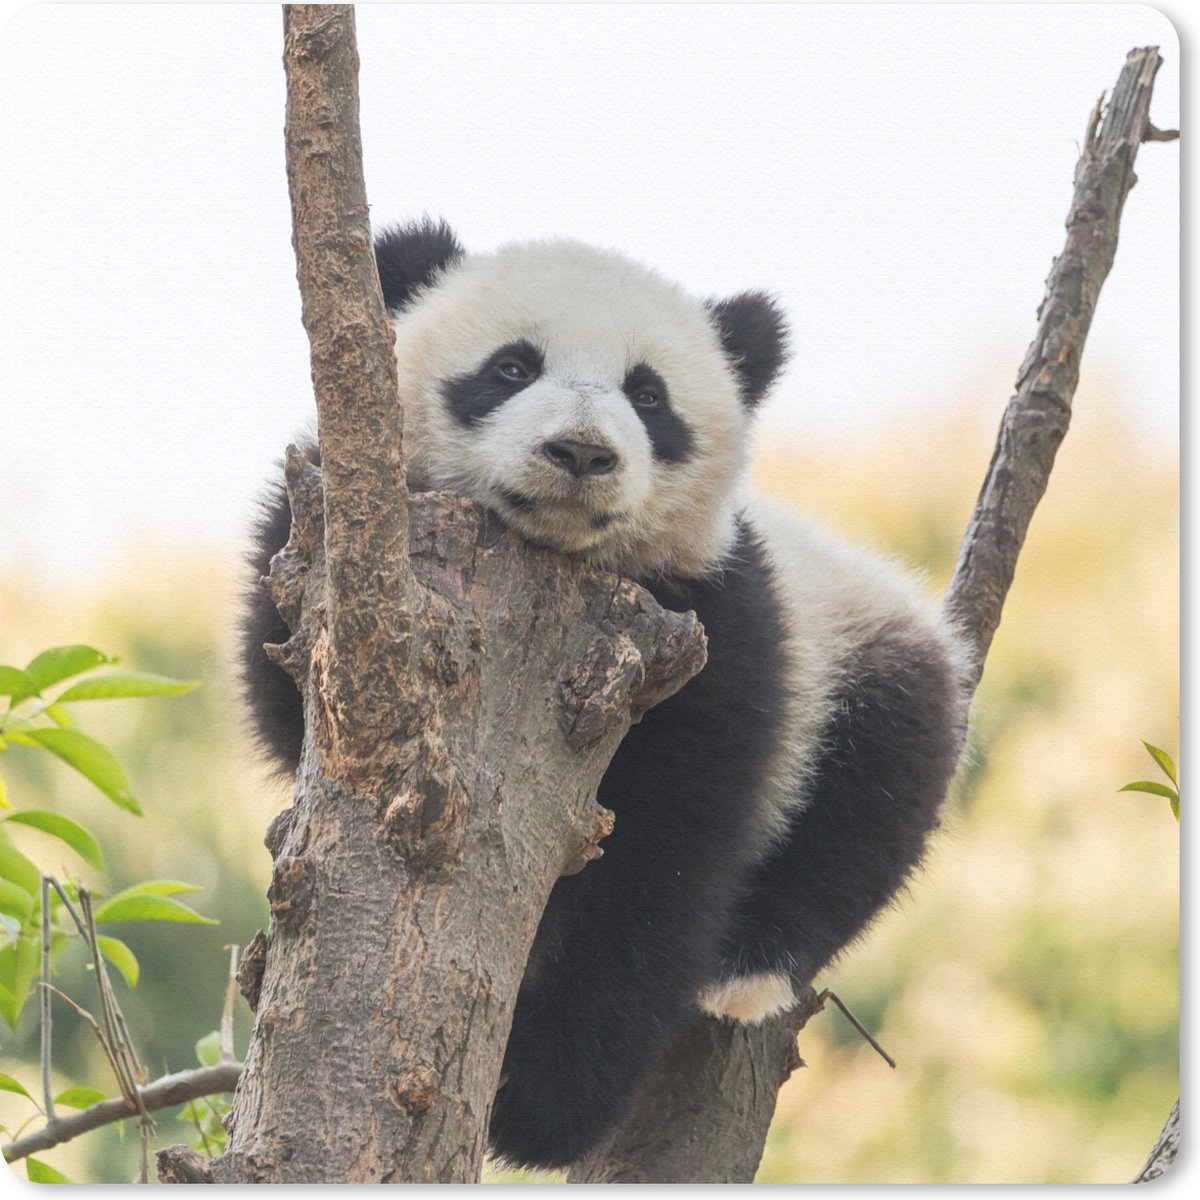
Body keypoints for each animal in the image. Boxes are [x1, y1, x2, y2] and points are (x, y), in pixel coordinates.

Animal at [241, 218, 970, 1170]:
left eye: (649, 395)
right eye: (512, 367)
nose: (583, 452)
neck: (558, 561)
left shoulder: (716, 624)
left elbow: (663, 858)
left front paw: (537, 1104)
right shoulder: (318, 554)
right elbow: (283, 686)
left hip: (858, 647)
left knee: (873, 793)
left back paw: (748, 967)